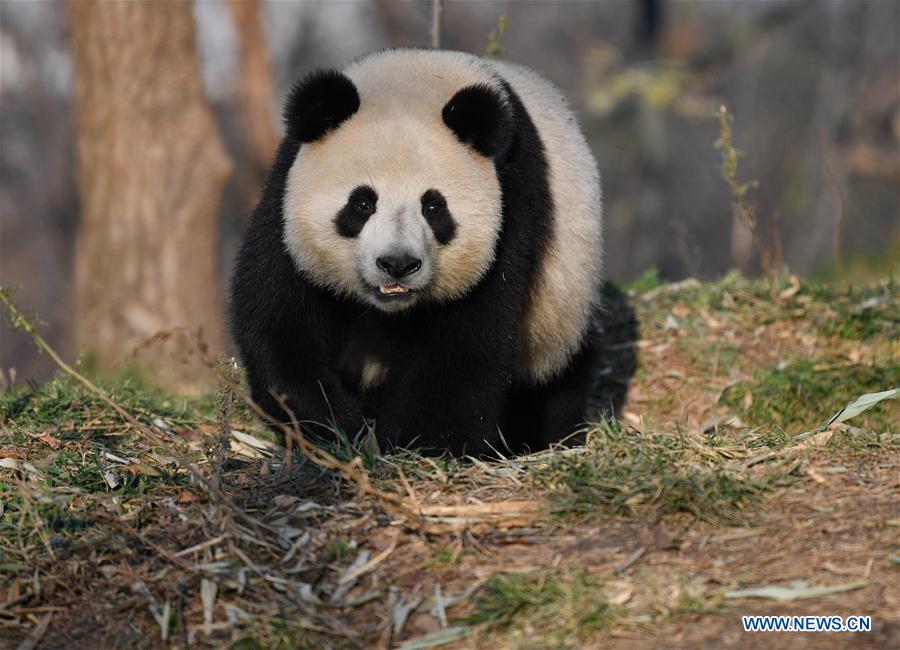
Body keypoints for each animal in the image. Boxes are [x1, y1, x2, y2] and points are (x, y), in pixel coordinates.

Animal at [229, 49, 600, 456]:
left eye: (434, 207)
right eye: (362, 203)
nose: (397, 264)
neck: (412, 81)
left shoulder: (511, 208)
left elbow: (465, 344)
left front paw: (418, 447)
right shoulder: (284, 199)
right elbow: (280, 320)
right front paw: (337, 431)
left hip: (561, 304)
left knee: (556, 382)